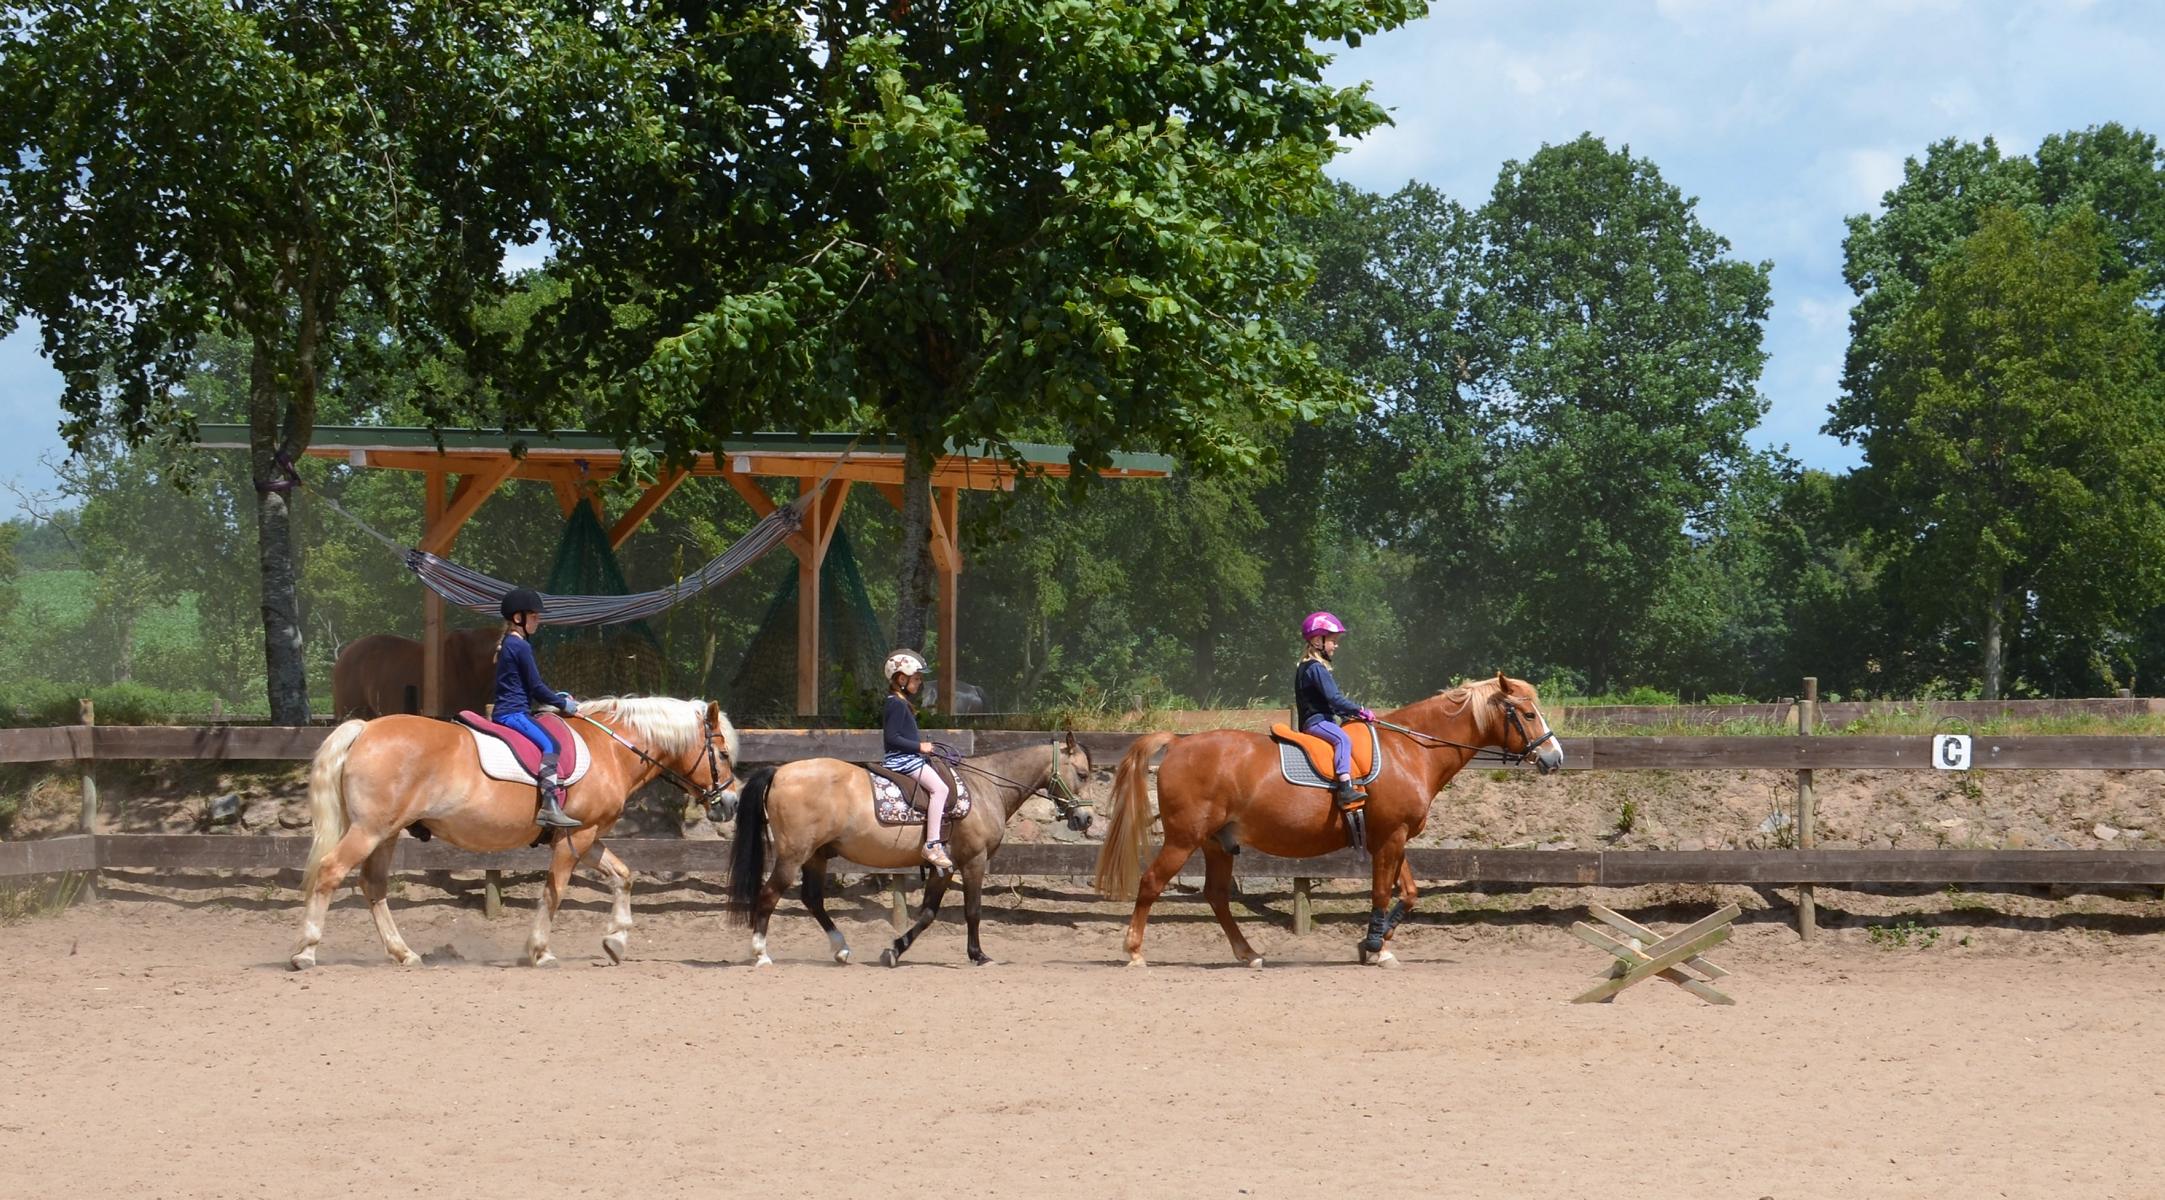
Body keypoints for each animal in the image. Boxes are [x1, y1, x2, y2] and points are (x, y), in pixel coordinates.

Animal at [292, 697, 740, 966]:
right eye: (721, 753)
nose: (731, 803)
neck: (611, 749)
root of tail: (365, 729)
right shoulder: (576, 838)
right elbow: (554, 891)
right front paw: (539, 951)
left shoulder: (588, 835)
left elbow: (623, 877)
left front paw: (616, 941)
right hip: (370, 830)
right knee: (331, 872)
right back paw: (306, 951)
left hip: (385, 833)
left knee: (373, 885)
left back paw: (403, 953)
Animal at [727, 732, 1091, 966]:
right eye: (1083, 774)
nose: (1086, 818)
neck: (986, 788)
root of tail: (780, 771)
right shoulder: (974, 861)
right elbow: (973, 911)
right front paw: (978, 955)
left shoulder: (944, 867)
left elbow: (928, 913)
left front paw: (894, 950)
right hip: (793, 855)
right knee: (769, 895)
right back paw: (761, 954)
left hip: (816, 856)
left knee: (812, 899)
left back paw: (841, 949)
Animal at [1099, 671, 1558, 961]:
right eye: (1528, 714)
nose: (1555, 758)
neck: (1410, 751)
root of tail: (1179, 743)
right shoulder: (1391, 838)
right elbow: (1381, 892)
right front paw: (1373, 948)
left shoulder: (1391, 837)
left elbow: (1409, 893)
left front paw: (1378, 942)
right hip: (1184, 839)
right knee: (1151, 883)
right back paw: (1134, 951)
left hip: (1218, 843)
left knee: (1216, 897)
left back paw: (1248, 954)